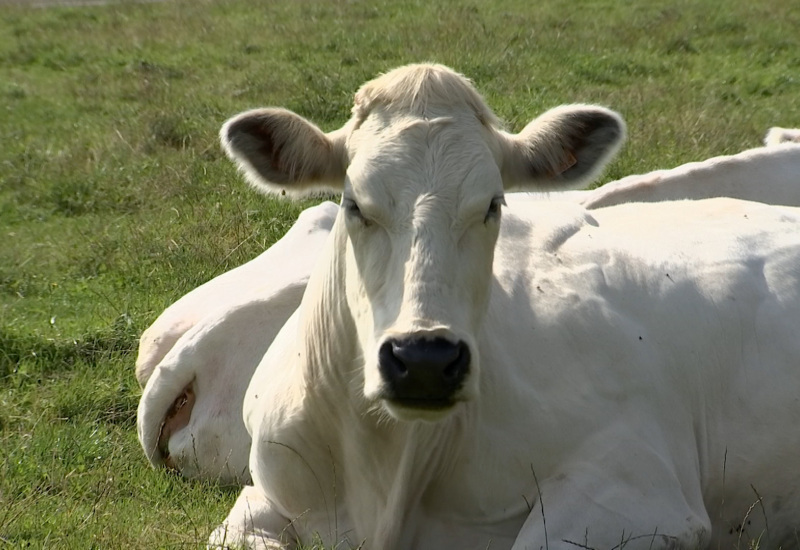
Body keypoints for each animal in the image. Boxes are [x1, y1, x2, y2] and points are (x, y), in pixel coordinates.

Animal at [195, 63, 800, 548]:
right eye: (354, 204)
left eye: (493, 204)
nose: (425, 359)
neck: (388, 472)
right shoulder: (260, 500)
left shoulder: (638, 488)